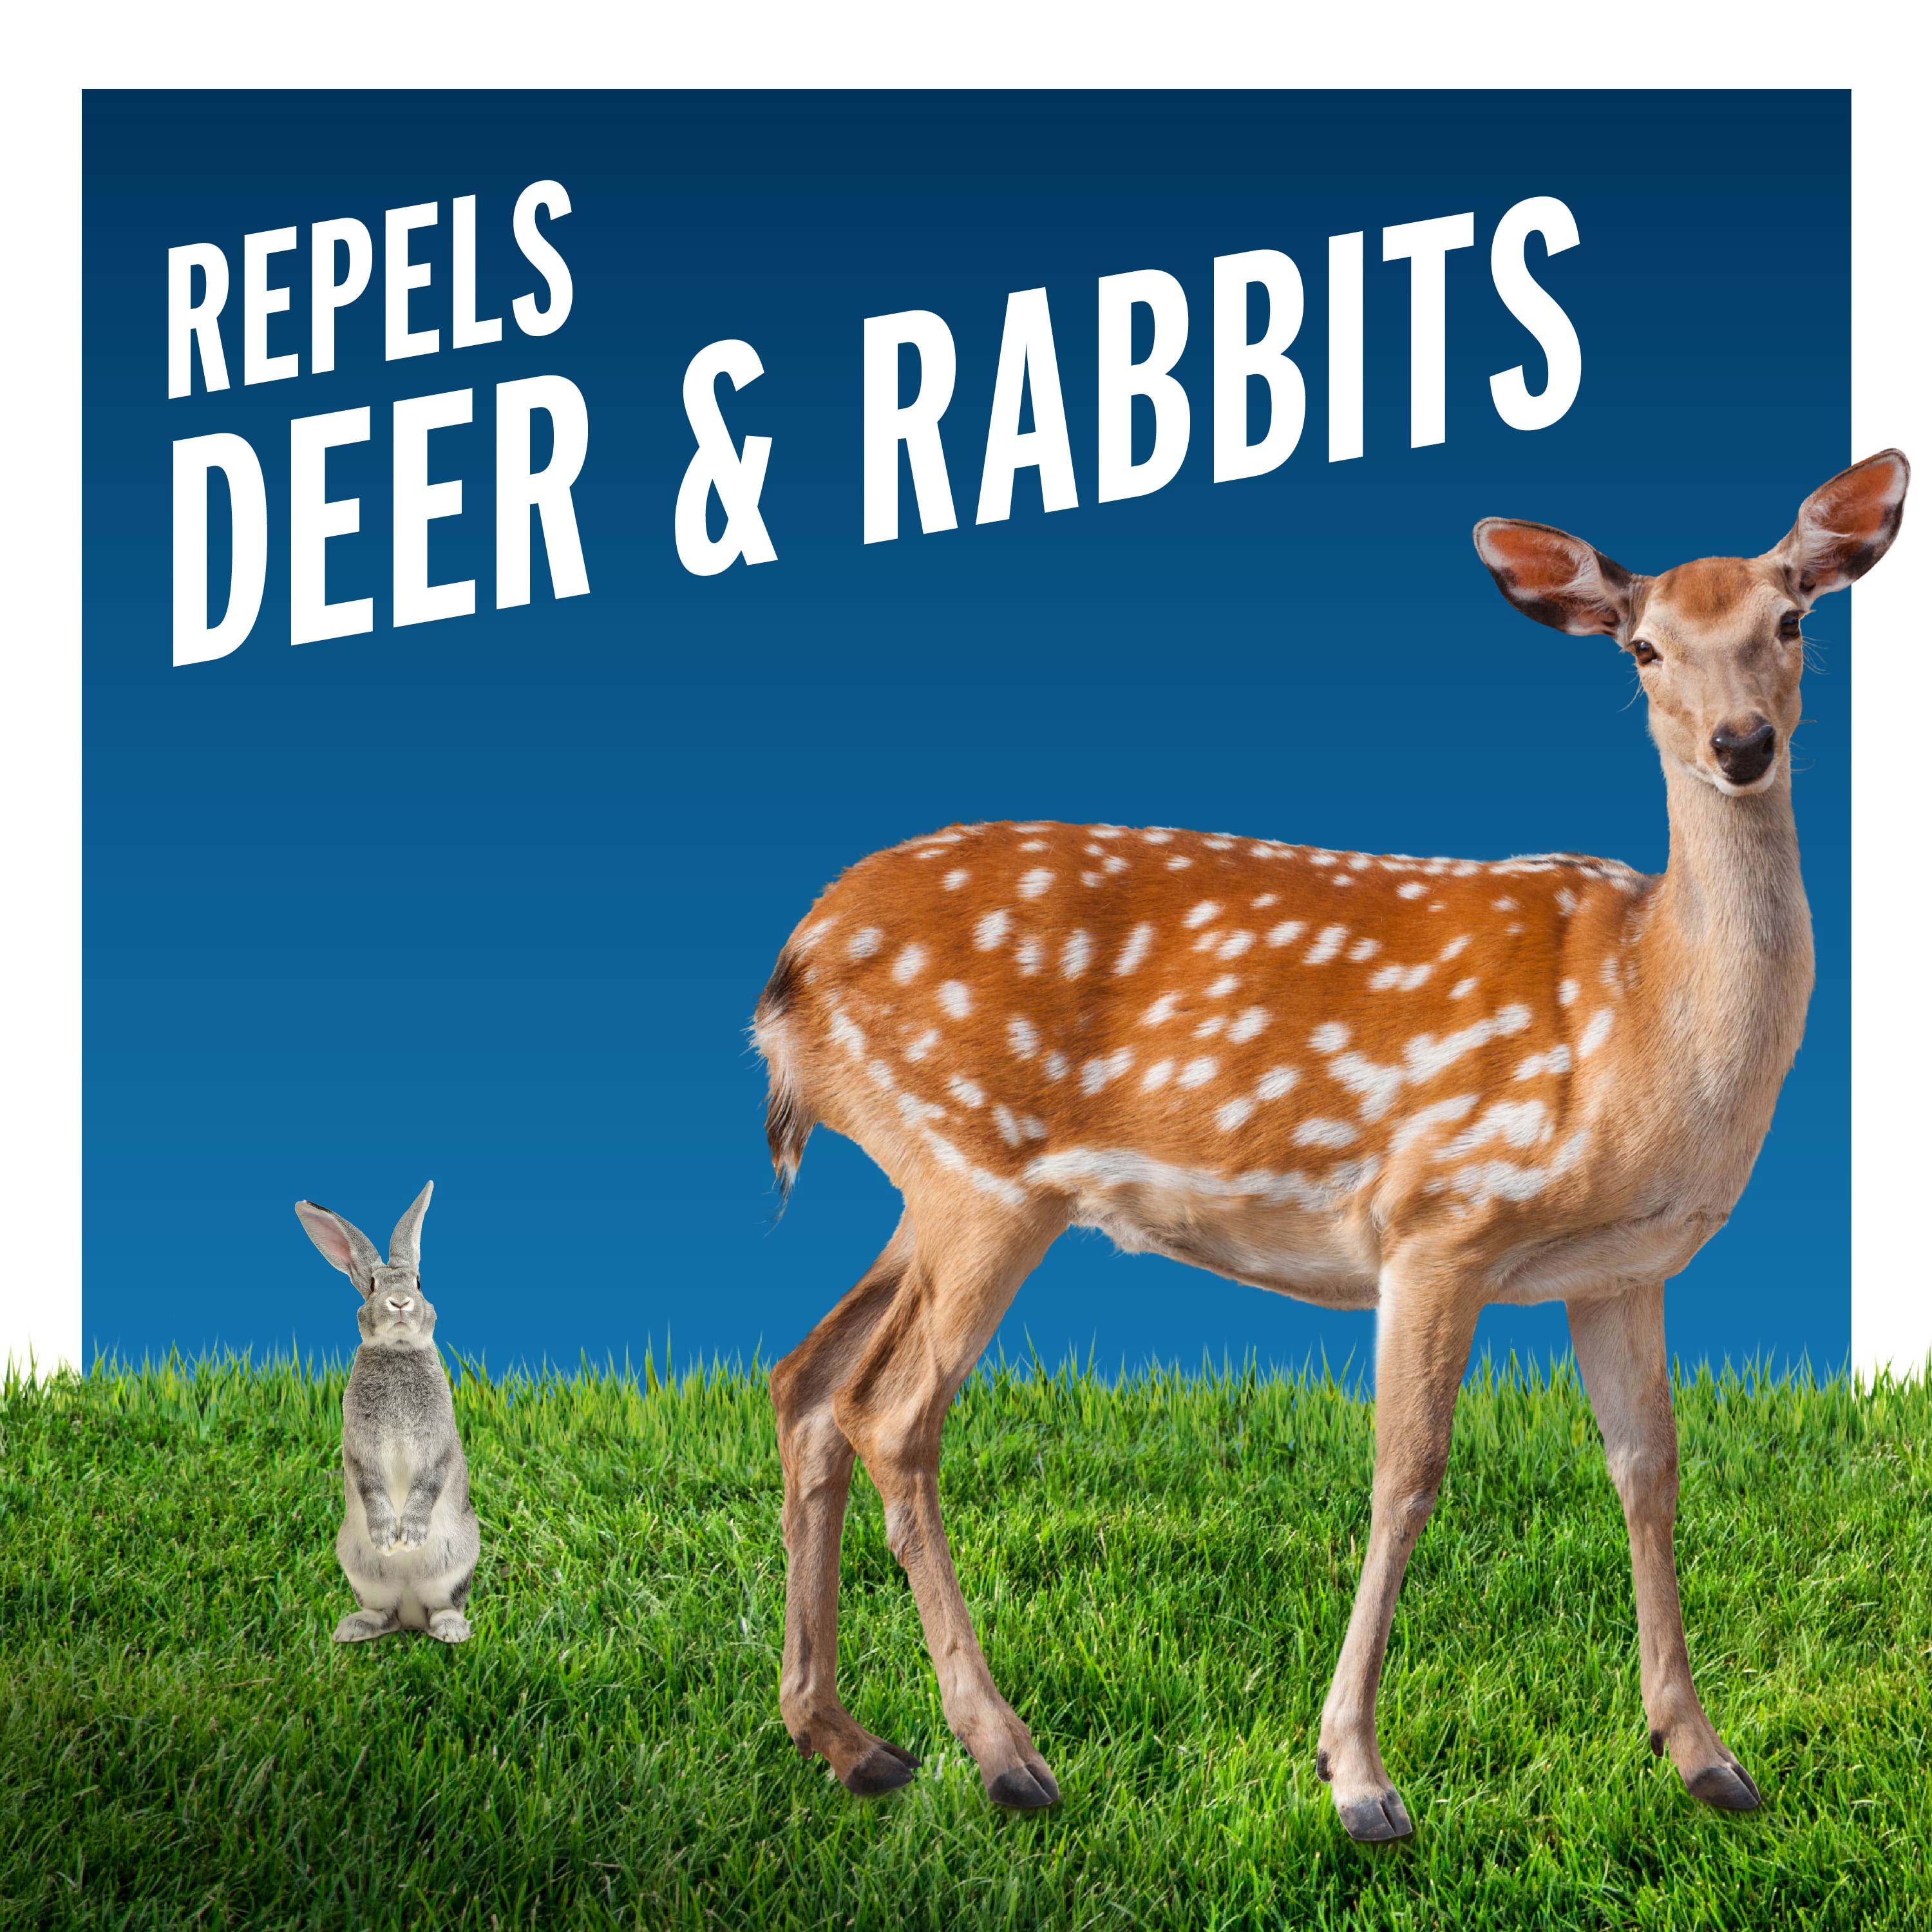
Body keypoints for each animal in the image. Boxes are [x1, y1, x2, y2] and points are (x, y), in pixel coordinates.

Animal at [295, 1182, 480, 1644]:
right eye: (374, 1286)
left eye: (419, 1281)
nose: (399, 1302)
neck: (397, 1351)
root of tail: (411, 1613)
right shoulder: (359, 1449)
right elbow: (370, 1484)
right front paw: (387, 1537)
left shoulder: (439, 1445)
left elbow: (429, 1482)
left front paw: (408, 1536)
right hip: (360, 1569)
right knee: (385, 1613)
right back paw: (352, 1629)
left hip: (456, 1563)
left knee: (443, 1607)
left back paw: (451, 1630)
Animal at [752, 450, 1908, 1840]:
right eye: (1642, 648)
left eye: (1792, 621)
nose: (1742, 744)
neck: (1645, 1017)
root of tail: (789, 972)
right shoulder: (1441, 1215)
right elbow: (1407, 1473)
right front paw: (1357, 1776)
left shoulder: (1623, 1268)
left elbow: (1652, 1469)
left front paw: (1704, 1755)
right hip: (982, 1170)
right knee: (889, 1411)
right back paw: (1002, 1754)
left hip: (930, 1180)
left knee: (806, 1377)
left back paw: (848, 1741)